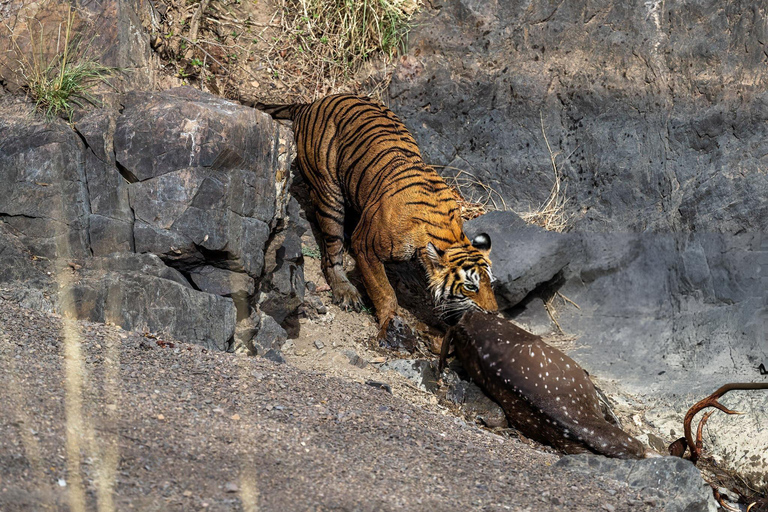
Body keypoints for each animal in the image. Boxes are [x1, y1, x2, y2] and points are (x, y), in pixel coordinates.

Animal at [254, 94, 498, 346]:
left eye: (491, 284)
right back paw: (345, 290)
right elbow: (384, 292)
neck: (448, 233)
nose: (492, 313)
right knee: (332, 253)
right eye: (470, 286)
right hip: (329, 193)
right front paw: (389, 323)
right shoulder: (366, 247)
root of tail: (310, 105)